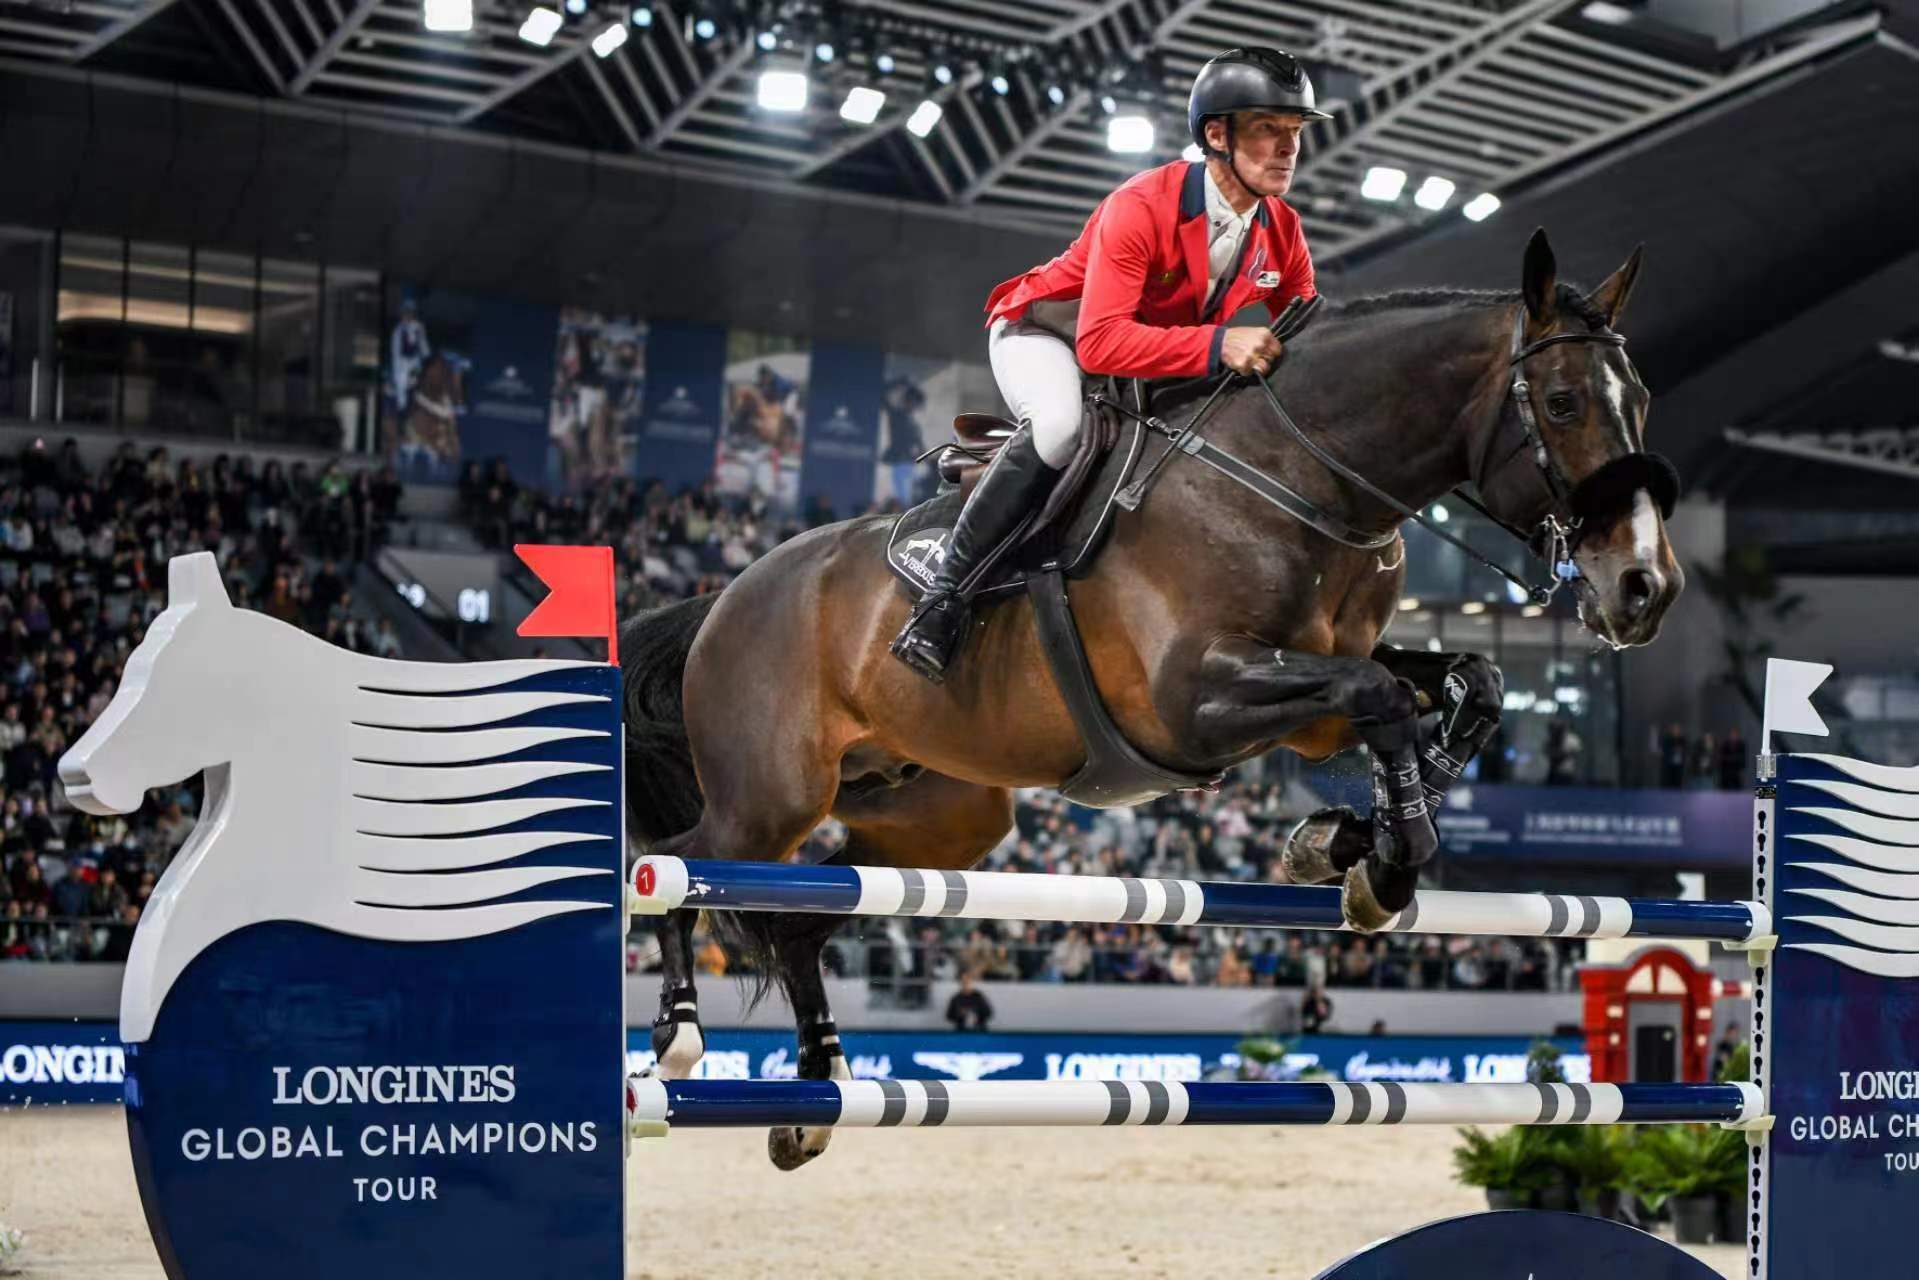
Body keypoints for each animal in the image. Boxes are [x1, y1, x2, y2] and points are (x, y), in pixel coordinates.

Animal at [620, 230, 1683, 1170]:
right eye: (1560, 401)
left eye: (1639, 402)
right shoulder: (1192, 703)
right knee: (676, 865)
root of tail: (729, 594)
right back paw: (676, 1036)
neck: (1303, 482)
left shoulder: (1307, 701)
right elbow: (1381, 694)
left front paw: (1343, 842)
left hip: (936, 816)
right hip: (769, 797)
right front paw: (1376, 864)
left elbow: (1468, 684)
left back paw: (814, 1099)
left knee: (802, 918)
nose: (1646, 589)